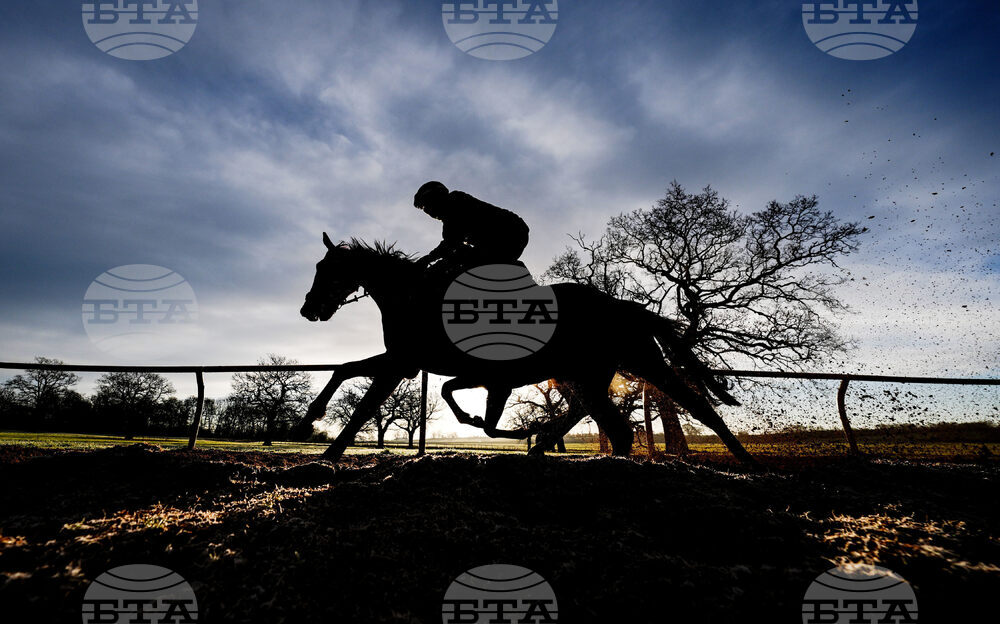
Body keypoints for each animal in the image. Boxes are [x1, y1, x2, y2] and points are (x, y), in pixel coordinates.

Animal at [296, 234, 757, 466]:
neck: (414, 297)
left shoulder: (405, 362)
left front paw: (329, 453)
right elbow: (343, 368)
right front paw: (308, 421)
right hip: (587, 371)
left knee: (695, 408)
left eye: (328, 270)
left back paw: (745, 461)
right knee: (609, 421)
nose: (308, 309)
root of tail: (624, 306)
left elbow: (364, 404)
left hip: (637, 361)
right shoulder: (409, 362)